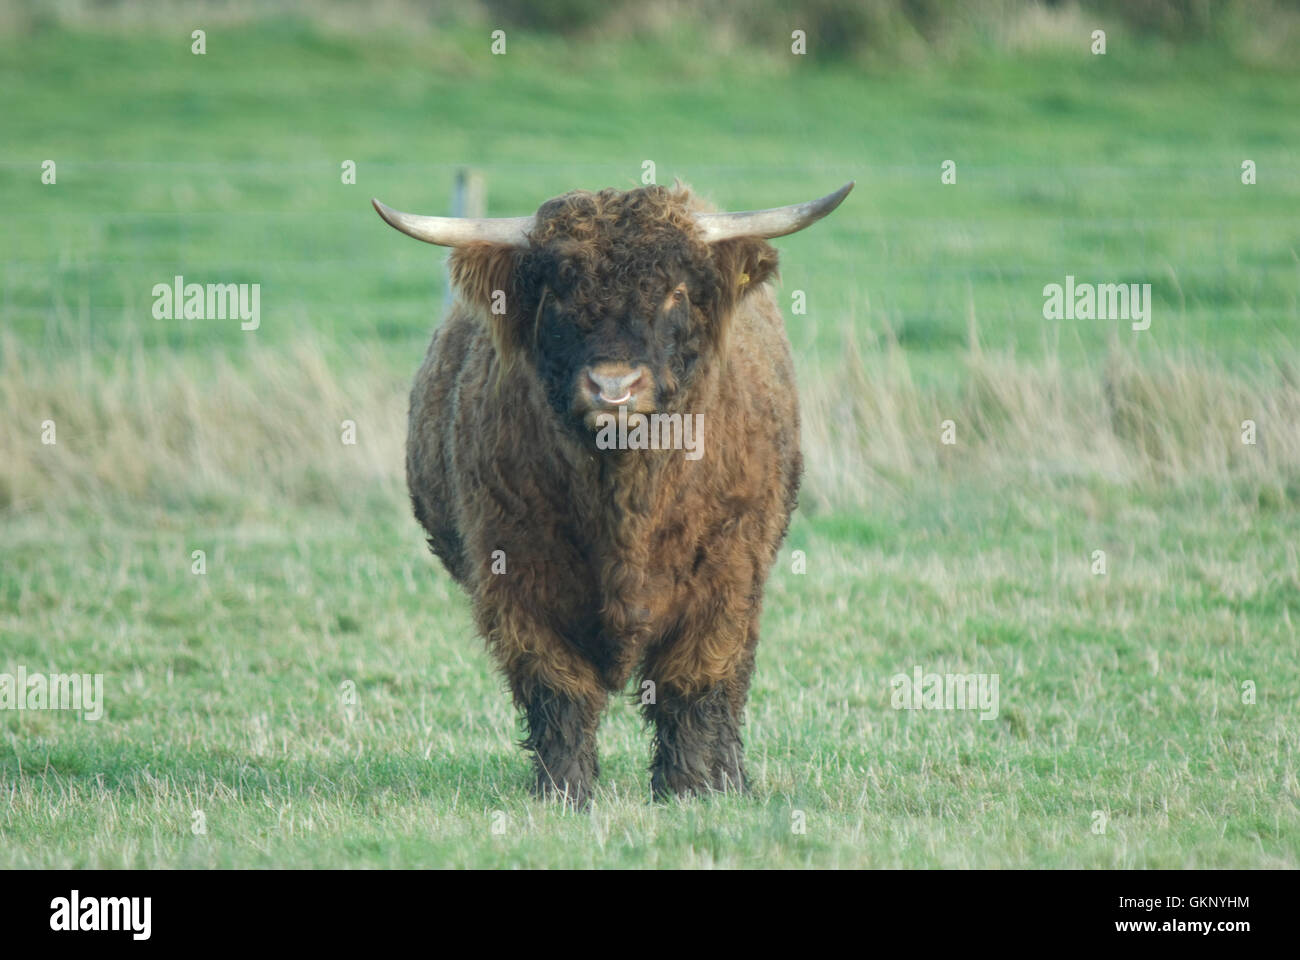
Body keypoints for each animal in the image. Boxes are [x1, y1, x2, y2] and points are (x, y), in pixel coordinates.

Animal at [374, 178, 852, 801]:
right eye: (556, 294)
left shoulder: (727, 573)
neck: (625, 494)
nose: (613, 386)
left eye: (676, 292)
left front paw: (690, 789)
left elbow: (695, 683)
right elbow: (557, 689)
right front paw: (564, 791)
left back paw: (733, 781)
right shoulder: (517, 573)